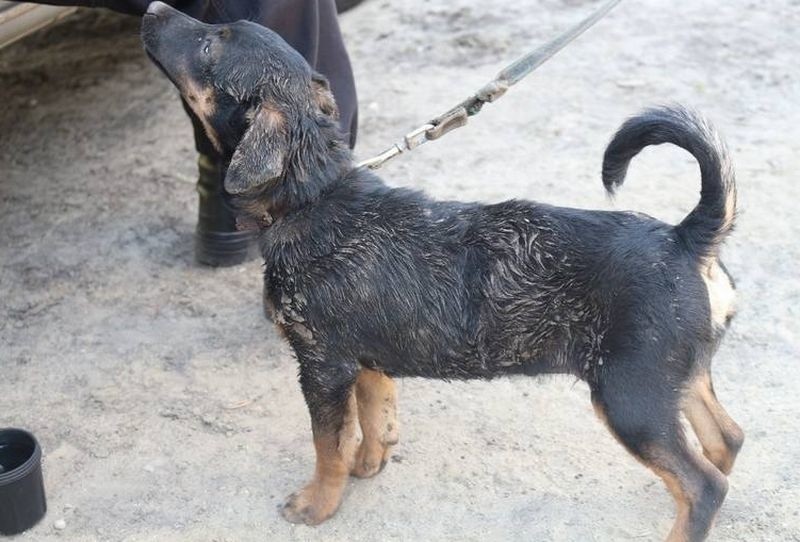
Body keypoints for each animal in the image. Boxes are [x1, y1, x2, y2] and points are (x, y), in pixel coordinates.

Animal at [142, 3, 744, 540]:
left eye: (210, 45)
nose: (152, 8)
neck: (312, 195)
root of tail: (685, 237)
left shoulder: (322, 367)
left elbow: (327, 445)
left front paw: (316, 505)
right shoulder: (364, 360)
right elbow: (375, 418)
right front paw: (370, 464)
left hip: (630, 396)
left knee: (703, 484)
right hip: (675, 377)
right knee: (725, 441)